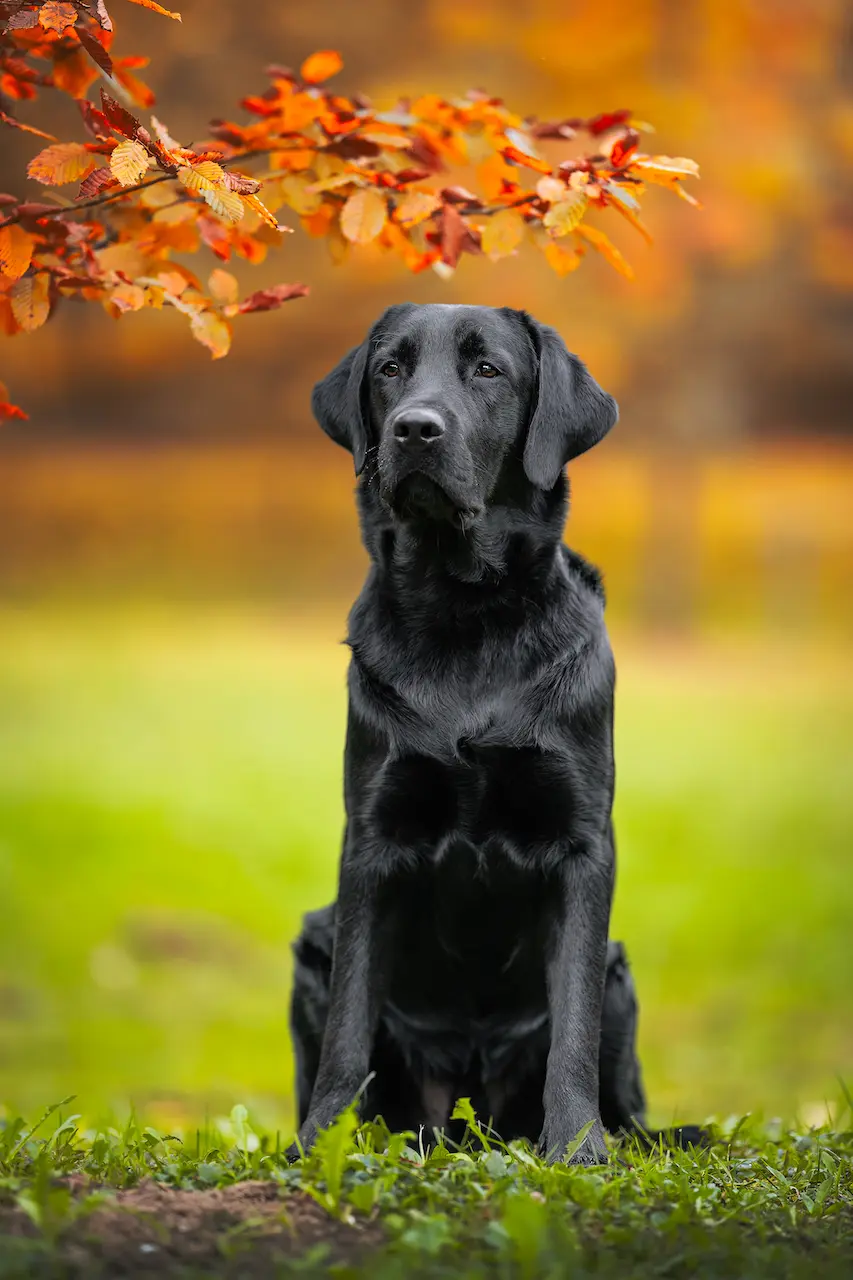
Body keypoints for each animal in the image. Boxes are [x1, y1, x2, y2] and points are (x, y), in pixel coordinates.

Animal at [292, 304, 666, 1167]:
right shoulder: (371, 842)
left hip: (618, 969)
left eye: (488, 370)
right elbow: (348, 1028)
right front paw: (321, 1145)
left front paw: (577, 1149)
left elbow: (570, 1030)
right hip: (312, 944)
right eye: (389, 369)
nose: (413, 429)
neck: (463, 613)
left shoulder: (582, 844)